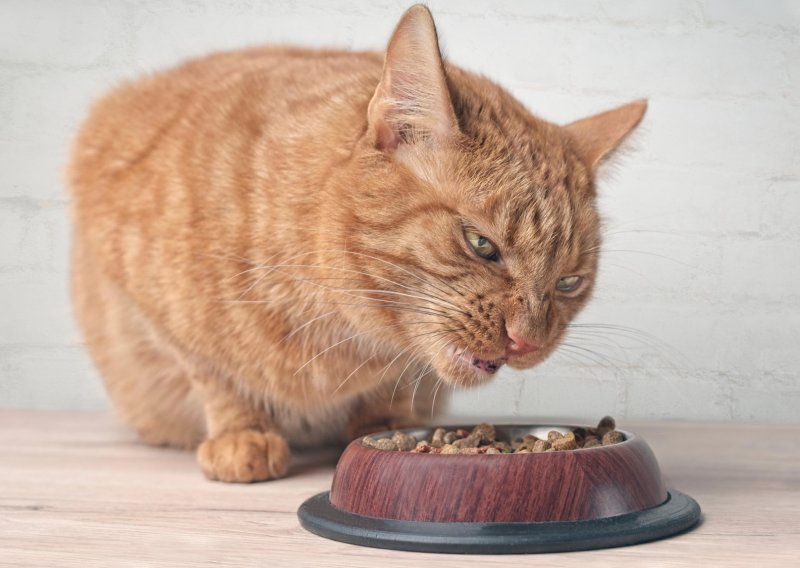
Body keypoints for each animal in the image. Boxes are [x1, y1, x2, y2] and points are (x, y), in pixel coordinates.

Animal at [67, 5, 644, 484]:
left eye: (569, 282)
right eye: (481, 244)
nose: (526, 342)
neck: (337, 334)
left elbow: (392, 392)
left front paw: (385, 426)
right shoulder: (151, 301)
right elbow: (215, 376)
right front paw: (241, 434)